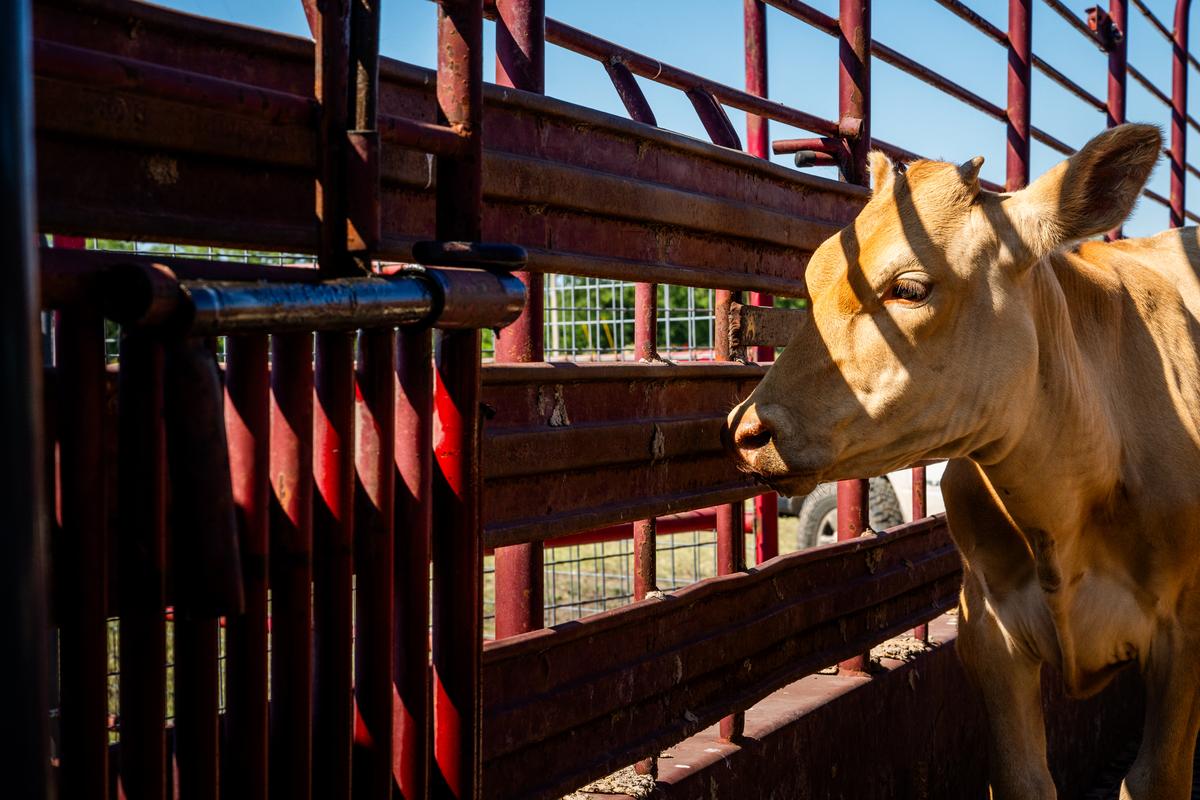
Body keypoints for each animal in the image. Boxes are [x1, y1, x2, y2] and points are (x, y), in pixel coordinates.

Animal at [725, 123, 1200, 799]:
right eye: (813, 279)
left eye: (909, 288)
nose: (746, 430)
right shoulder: (989, 628)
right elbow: (1024, 778)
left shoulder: (1184, 635)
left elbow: (1156, 776)